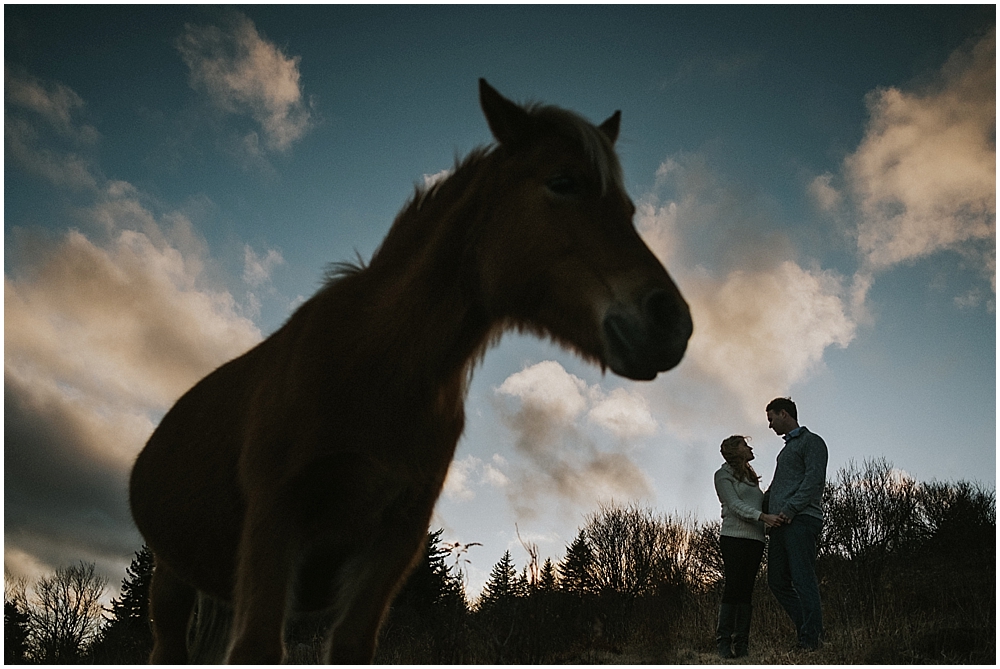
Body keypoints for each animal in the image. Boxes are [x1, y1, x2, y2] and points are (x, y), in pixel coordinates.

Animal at [129, 79, 692, 664]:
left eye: (628, 208)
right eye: (563, 182)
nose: (671, 322)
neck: (375, 365)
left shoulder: (393, 543)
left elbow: (351, 645)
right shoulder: (275, 518)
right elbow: (258, 646)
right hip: (171, 579)